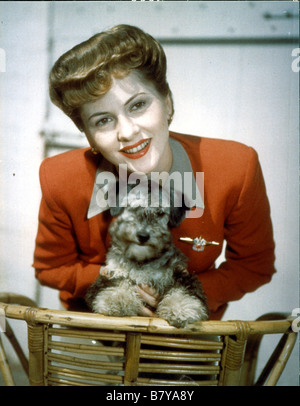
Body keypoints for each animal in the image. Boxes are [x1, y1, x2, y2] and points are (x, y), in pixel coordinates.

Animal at [85, 182, 209, 328]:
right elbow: (118, 283)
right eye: (132, 208)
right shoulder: (112, 271)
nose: (143, 235)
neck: (142, 262)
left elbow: (182, 291)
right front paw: (116, 300)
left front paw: (180, 309)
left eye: (160, 213)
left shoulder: (179, 273)